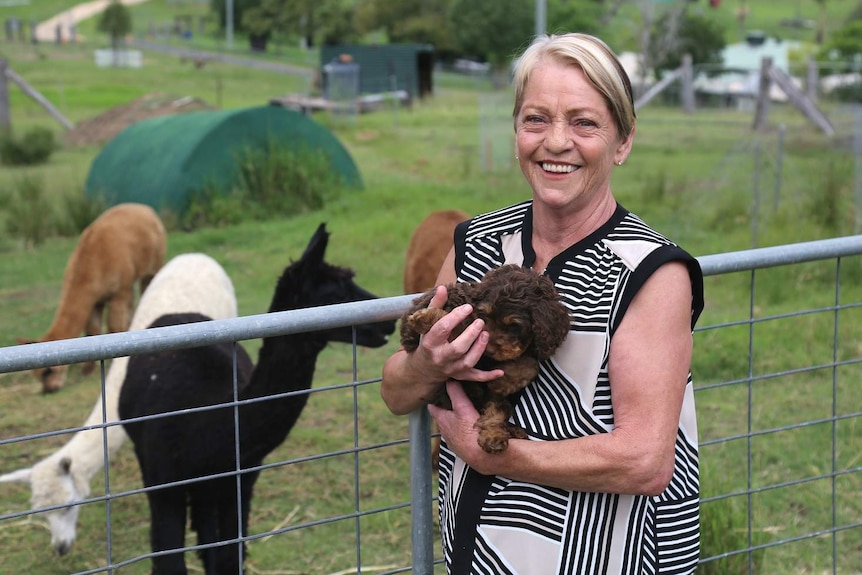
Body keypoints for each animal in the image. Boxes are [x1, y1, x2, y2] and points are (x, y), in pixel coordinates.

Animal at [404, 264, 572, 454]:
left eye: (514, 326)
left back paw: (498, 436)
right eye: (484, 315)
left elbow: (530, 365)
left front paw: (503, 381)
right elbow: (460, 325)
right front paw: (427, 317)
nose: (489, 350)